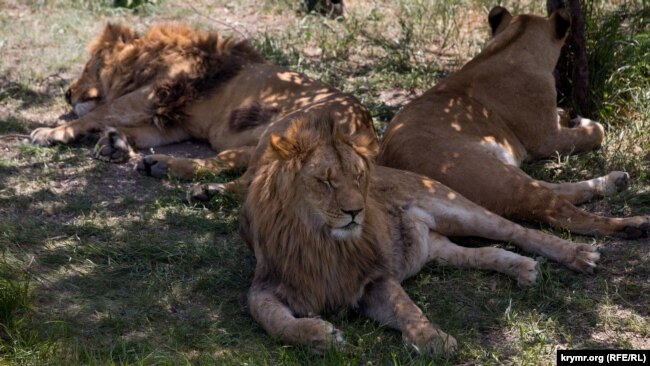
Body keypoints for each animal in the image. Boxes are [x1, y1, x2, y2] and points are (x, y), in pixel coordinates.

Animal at [30, 22, 374, 181]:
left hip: (285, 126)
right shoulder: (175, 124)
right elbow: (133, 129)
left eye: (89, 66)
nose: (67, 93)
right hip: (262, 144)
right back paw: (162, 166)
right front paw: (115, 145)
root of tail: (368, 130)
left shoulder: (153, 92)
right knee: (221, 163)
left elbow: (100, 112)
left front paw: (50, 133)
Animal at [237, 113, 596, 356]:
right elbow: (270, 319)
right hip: (436, 249)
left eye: (358, 176)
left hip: (454, 208)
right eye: (325, 181)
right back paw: (521, 268)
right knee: (482, 253)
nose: (356, 212)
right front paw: (319, 336)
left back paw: (579, 255)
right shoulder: (266, 283)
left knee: (518, 230)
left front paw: (433, 339)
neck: (322, 241)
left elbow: (406, 307)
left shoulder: (373, 277)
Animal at [374, 7, 648, 240]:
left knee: (554, 189)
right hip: (497, 177)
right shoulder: (546, 139)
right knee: (560, 211)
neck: (511, 45)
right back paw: (632, 224)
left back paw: (615, 182)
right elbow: (597, 132)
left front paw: (567, 114)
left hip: (507, 170)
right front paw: (581, 119)